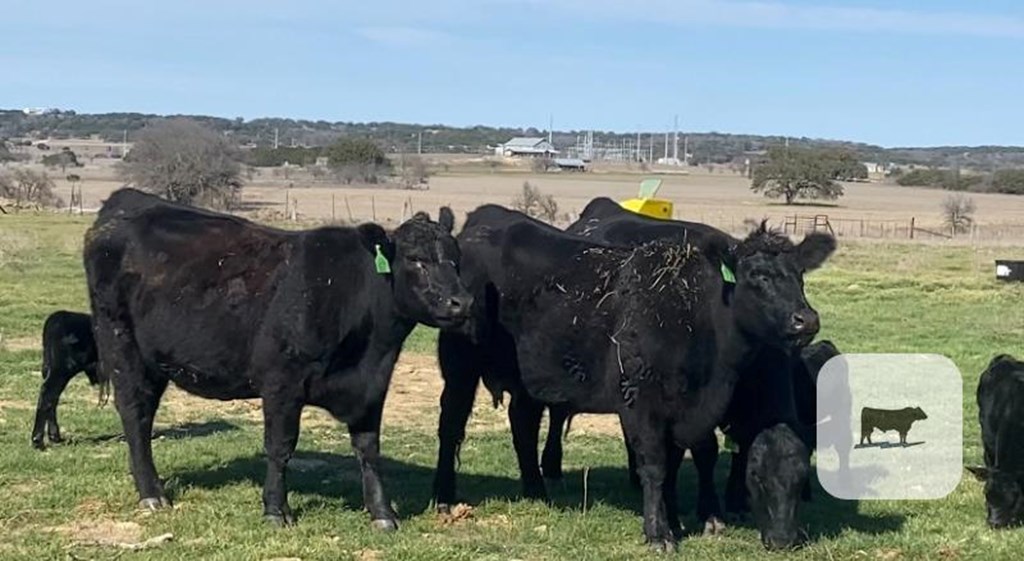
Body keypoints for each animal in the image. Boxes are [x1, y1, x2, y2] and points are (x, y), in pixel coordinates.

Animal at [31, 309, 97, 448]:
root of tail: (57, 316)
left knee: (52, 398)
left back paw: (54, 437)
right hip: (61, 370)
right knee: (47, 394)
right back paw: (37, 440)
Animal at [83, 190, 471, 528]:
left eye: (456, 259)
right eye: (416, 260)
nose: (461, 302)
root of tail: (127, 202)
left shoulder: (372, 388)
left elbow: (368, 449)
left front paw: (382, 513)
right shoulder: (281, 383)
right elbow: (280, 447)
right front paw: (275, 510)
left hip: (155, 359)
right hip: (121, 344)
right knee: (135, 413)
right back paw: (151, 493)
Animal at [483, 217, 827, 548]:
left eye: (800, 276)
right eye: (758, 276)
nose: (806, 319)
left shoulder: (684, 412)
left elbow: (675, 465)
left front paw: (674, 519)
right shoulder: (642, 405)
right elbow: (656, 467)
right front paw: (658, 533)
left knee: (523, 422)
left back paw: (535, 488)